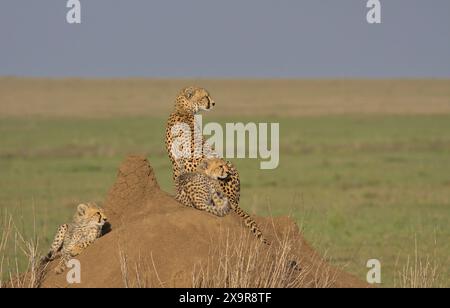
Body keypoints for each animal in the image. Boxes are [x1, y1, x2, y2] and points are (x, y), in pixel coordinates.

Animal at [166, 87, 268, 245]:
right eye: (205, 96)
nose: (213, 103)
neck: (183, 110)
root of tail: (231, 199)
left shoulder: (176, 163)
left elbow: (177, 180)